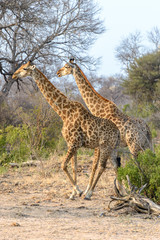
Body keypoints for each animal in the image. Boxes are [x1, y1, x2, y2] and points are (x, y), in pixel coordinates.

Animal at [12, 61, 120, 200]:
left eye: (25, 68)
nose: (14, 75)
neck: (63, 113)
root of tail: (118, 132)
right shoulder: (72, 144)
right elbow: (74, 167)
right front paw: (73, 193)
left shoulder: (73, 143)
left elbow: (63, 165)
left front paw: (78, 191)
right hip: (112, 148)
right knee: (115, 166)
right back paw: (123, 192)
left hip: (105, 147)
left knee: (102, 166)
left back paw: (89, 193)